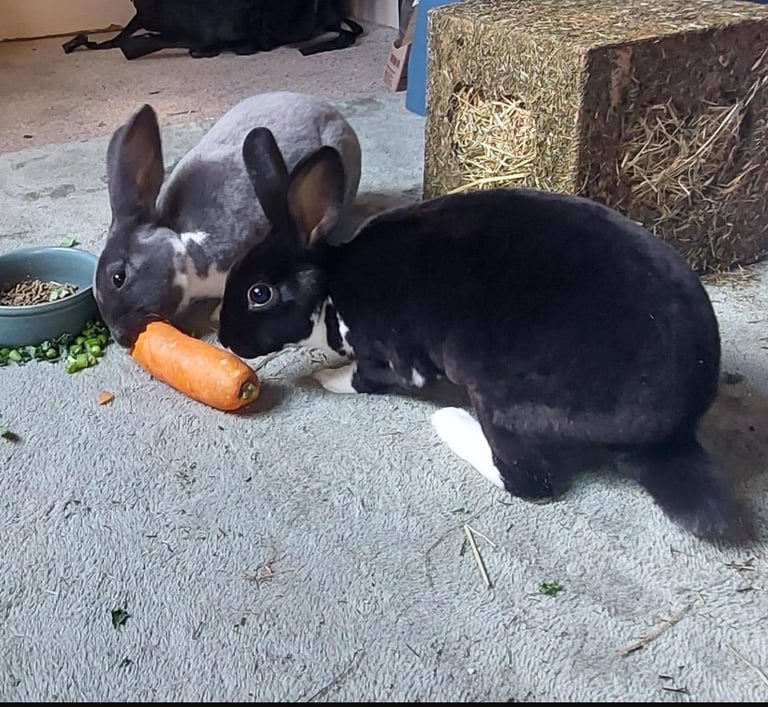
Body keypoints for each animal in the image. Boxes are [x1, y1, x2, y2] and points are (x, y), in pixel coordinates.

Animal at [217, 127, 750, 544]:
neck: (331, 286)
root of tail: (674, 429)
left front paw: (327, 378)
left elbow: (364, 378)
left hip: (502, 397)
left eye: (259, 294)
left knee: (529, 478)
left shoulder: (393, 358)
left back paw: (451, 422)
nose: (225, 340)